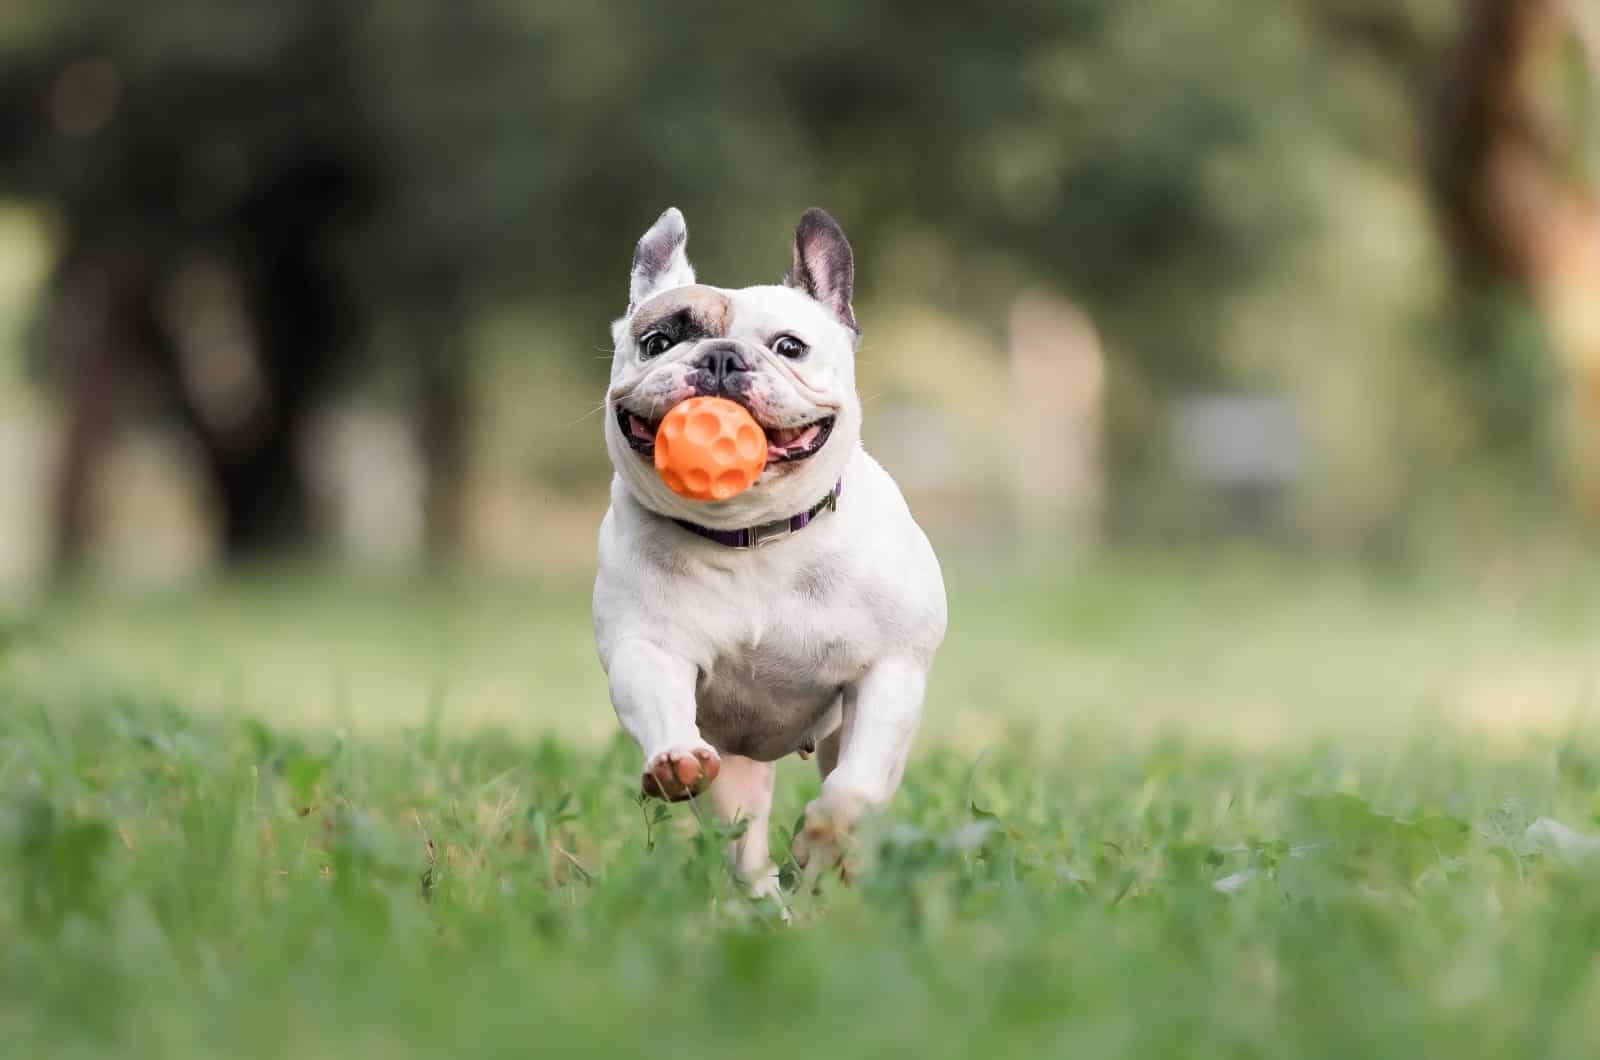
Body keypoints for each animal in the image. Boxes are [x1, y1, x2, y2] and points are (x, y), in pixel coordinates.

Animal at [601, 208, 947, 896]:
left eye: (790, 347)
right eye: (658, 342)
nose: (719, 358)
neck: (754, 535)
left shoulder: (891, 670)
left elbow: (855, 789)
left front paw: (822, 842)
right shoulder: (645, 646)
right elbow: (657, 699)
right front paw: (674, 758)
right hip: (736, 772)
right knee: (743, 840)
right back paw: (764, 901)